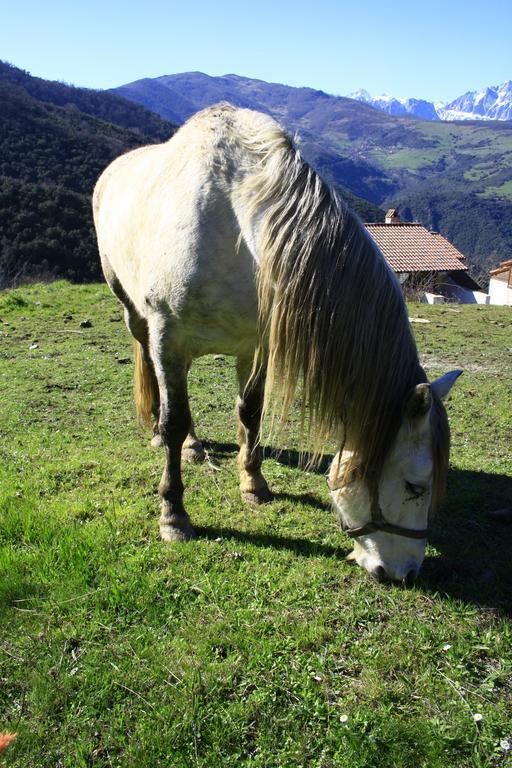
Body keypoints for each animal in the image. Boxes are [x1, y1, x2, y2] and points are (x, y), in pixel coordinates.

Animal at [93, 103, 464, 584]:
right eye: (415, 487)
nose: (405, 573)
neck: (238, 230)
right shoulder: (168, 336)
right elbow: (174, 421)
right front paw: (173, 515)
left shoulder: (256, 346)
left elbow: (249, 412)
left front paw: (253, 484)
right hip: (139, 319)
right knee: (160, 388)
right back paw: (164, 438)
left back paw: (194, 447)